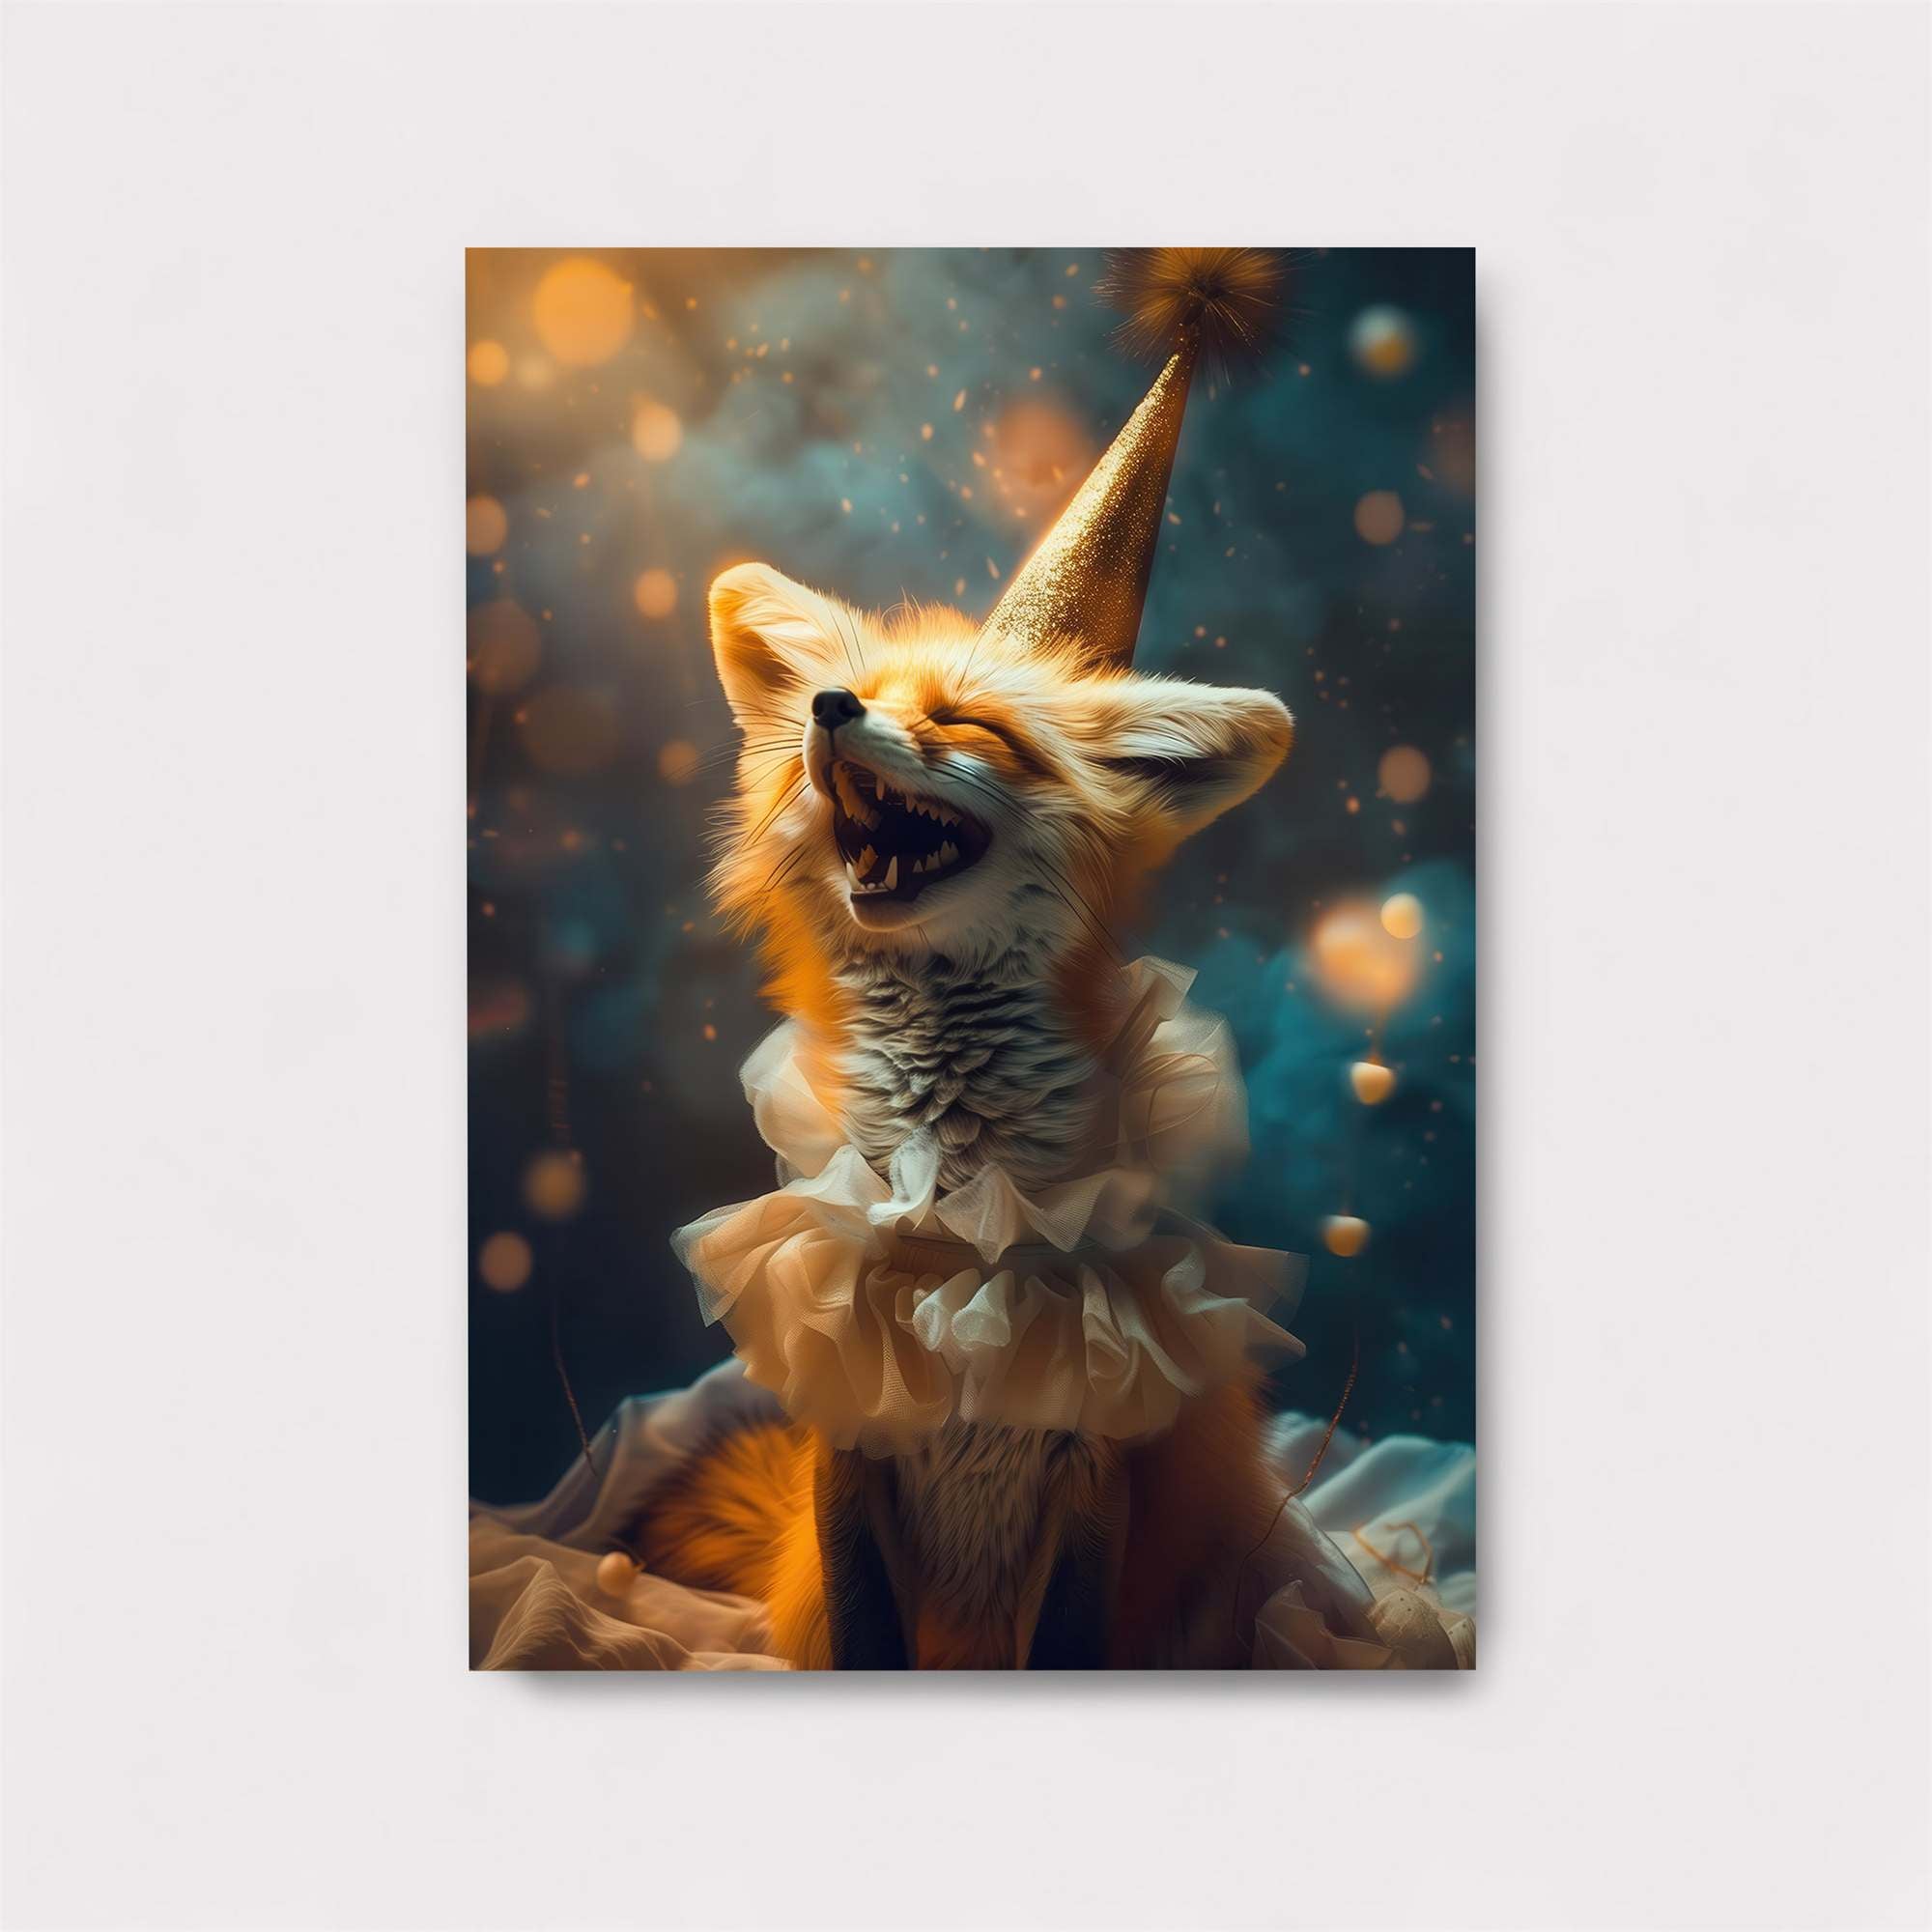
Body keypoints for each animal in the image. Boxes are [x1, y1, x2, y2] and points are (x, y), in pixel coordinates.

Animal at [637, 559, 1297, 1668]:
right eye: (853, 695)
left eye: (963, 722)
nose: (827, 706)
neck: (961, 1225)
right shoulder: (849, 1441)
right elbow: (864, 1637)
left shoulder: (1094, 1469)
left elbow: (1068, 1641)